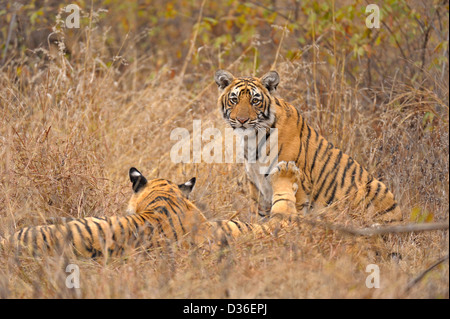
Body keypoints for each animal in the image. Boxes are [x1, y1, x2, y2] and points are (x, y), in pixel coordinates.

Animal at [216, 70, 402, 225]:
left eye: (255, 101)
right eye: (234, 100)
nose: (242, 120)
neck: (252, 139)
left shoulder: (300, 183)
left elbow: (291, 209)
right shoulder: (256, 184)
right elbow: (261, 214)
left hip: (375, 187)